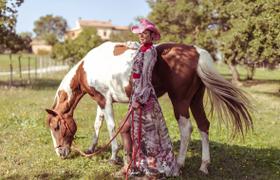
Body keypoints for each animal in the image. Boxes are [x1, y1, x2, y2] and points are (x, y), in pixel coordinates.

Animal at [45, 41, 252, 174]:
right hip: (195, 100)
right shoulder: (100, 100)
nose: (60, 153)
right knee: (203, 125)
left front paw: (113, 156)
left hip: (180, 101)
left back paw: (179, 164)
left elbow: (111, 126)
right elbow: (98, 123)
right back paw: (204, 165)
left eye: (56, 127)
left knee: (187, 128)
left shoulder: (104, 99)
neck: (88, 68)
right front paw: (91, 148)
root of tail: (196, 52)